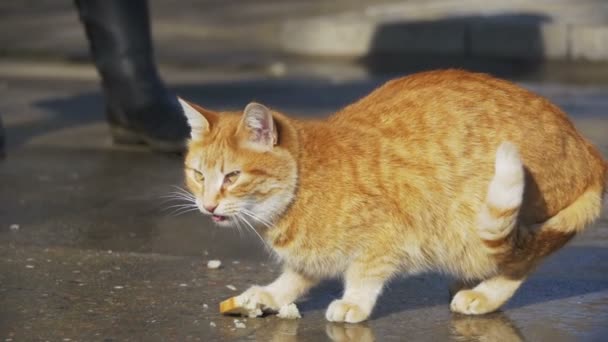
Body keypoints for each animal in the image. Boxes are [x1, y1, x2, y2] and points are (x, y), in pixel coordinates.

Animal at [178, 70, 604, 324]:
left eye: (233, 176)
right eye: (198, 175)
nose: (208, 205)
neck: (304, 182)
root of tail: (589, 150)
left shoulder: (386, 235)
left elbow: (364, 272)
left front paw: (354, 302)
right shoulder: (313, 253)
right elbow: (297, 275)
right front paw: (270, 294)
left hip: (481, 225)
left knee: (521, 260)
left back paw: (484, 296)